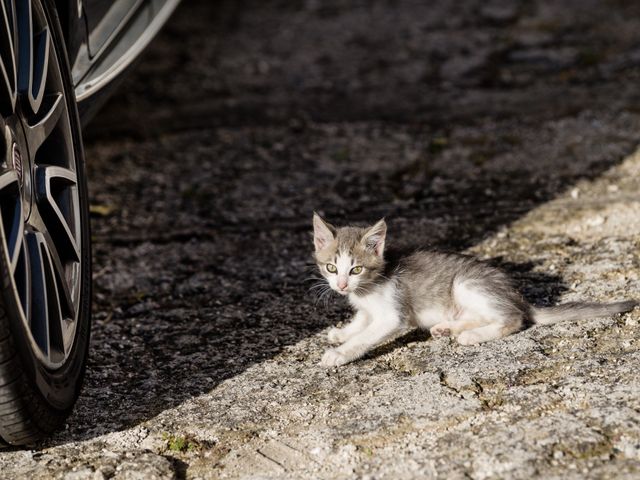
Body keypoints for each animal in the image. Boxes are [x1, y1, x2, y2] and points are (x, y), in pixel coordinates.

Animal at [310, 214, 636, 368]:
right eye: (331, 268)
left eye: (356, 270)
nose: (341, 285)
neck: (368, 288)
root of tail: (517, 296)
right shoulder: (367, 309)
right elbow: (361, 322)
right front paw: (341, 332)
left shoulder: (394, 315)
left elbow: (367, 335)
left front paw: (339, 353)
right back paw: (449, 328)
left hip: (465, 283)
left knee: (513, 319)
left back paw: (471, 336)